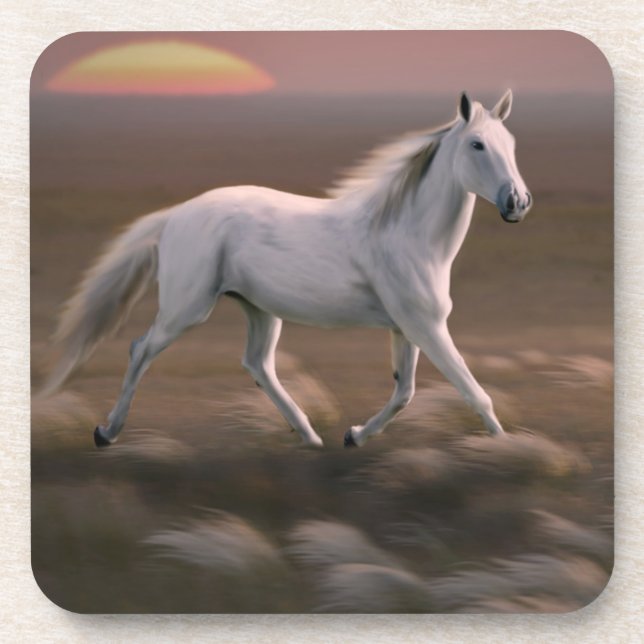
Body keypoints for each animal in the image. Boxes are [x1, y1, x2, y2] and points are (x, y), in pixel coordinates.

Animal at [43, 90, 532, 449]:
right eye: (477, 144)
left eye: (512, 145)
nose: (517, 202)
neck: (408, 233)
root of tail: (176, 214)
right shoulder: (426, 327)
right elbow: (474, 392)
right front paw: (506, 448)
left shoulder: (407, 328)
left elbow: (404, 391)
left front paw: (354, 436)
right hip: (187, 308)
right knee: (141, 349)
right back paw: (106, 433)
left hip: (259, 309)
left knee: (258, 363)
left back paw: (310, 437)